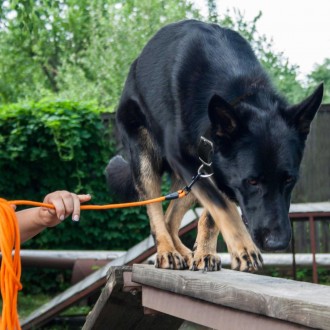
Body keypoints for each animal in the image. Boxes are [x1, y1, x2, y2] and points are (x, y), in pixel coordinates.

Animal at [107, 20, 324, 272]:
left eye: (289, 179)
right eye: (252, 182)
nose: (277, 243)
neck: (239, 92)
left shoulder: (220, 173)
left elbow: (212, 214)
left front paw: (206, 253)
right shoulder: (187, 160)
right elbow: (221, 206)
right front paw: (244, 248)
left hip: (194, 177)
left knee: (171, 218)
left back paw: (186, 252)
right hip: (148, 159)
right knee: (156, 213)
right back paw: (167, 250)